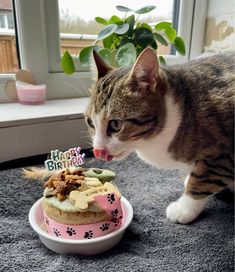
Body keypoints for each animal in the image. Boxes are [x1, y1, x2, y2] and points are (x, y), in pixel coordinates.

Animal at [84, 47, 233, 224]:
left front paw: (184, 208)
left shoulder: (223, 152)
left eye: (115, 124)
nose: (97, 151)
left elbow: (204, 179)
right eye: (90, 122)